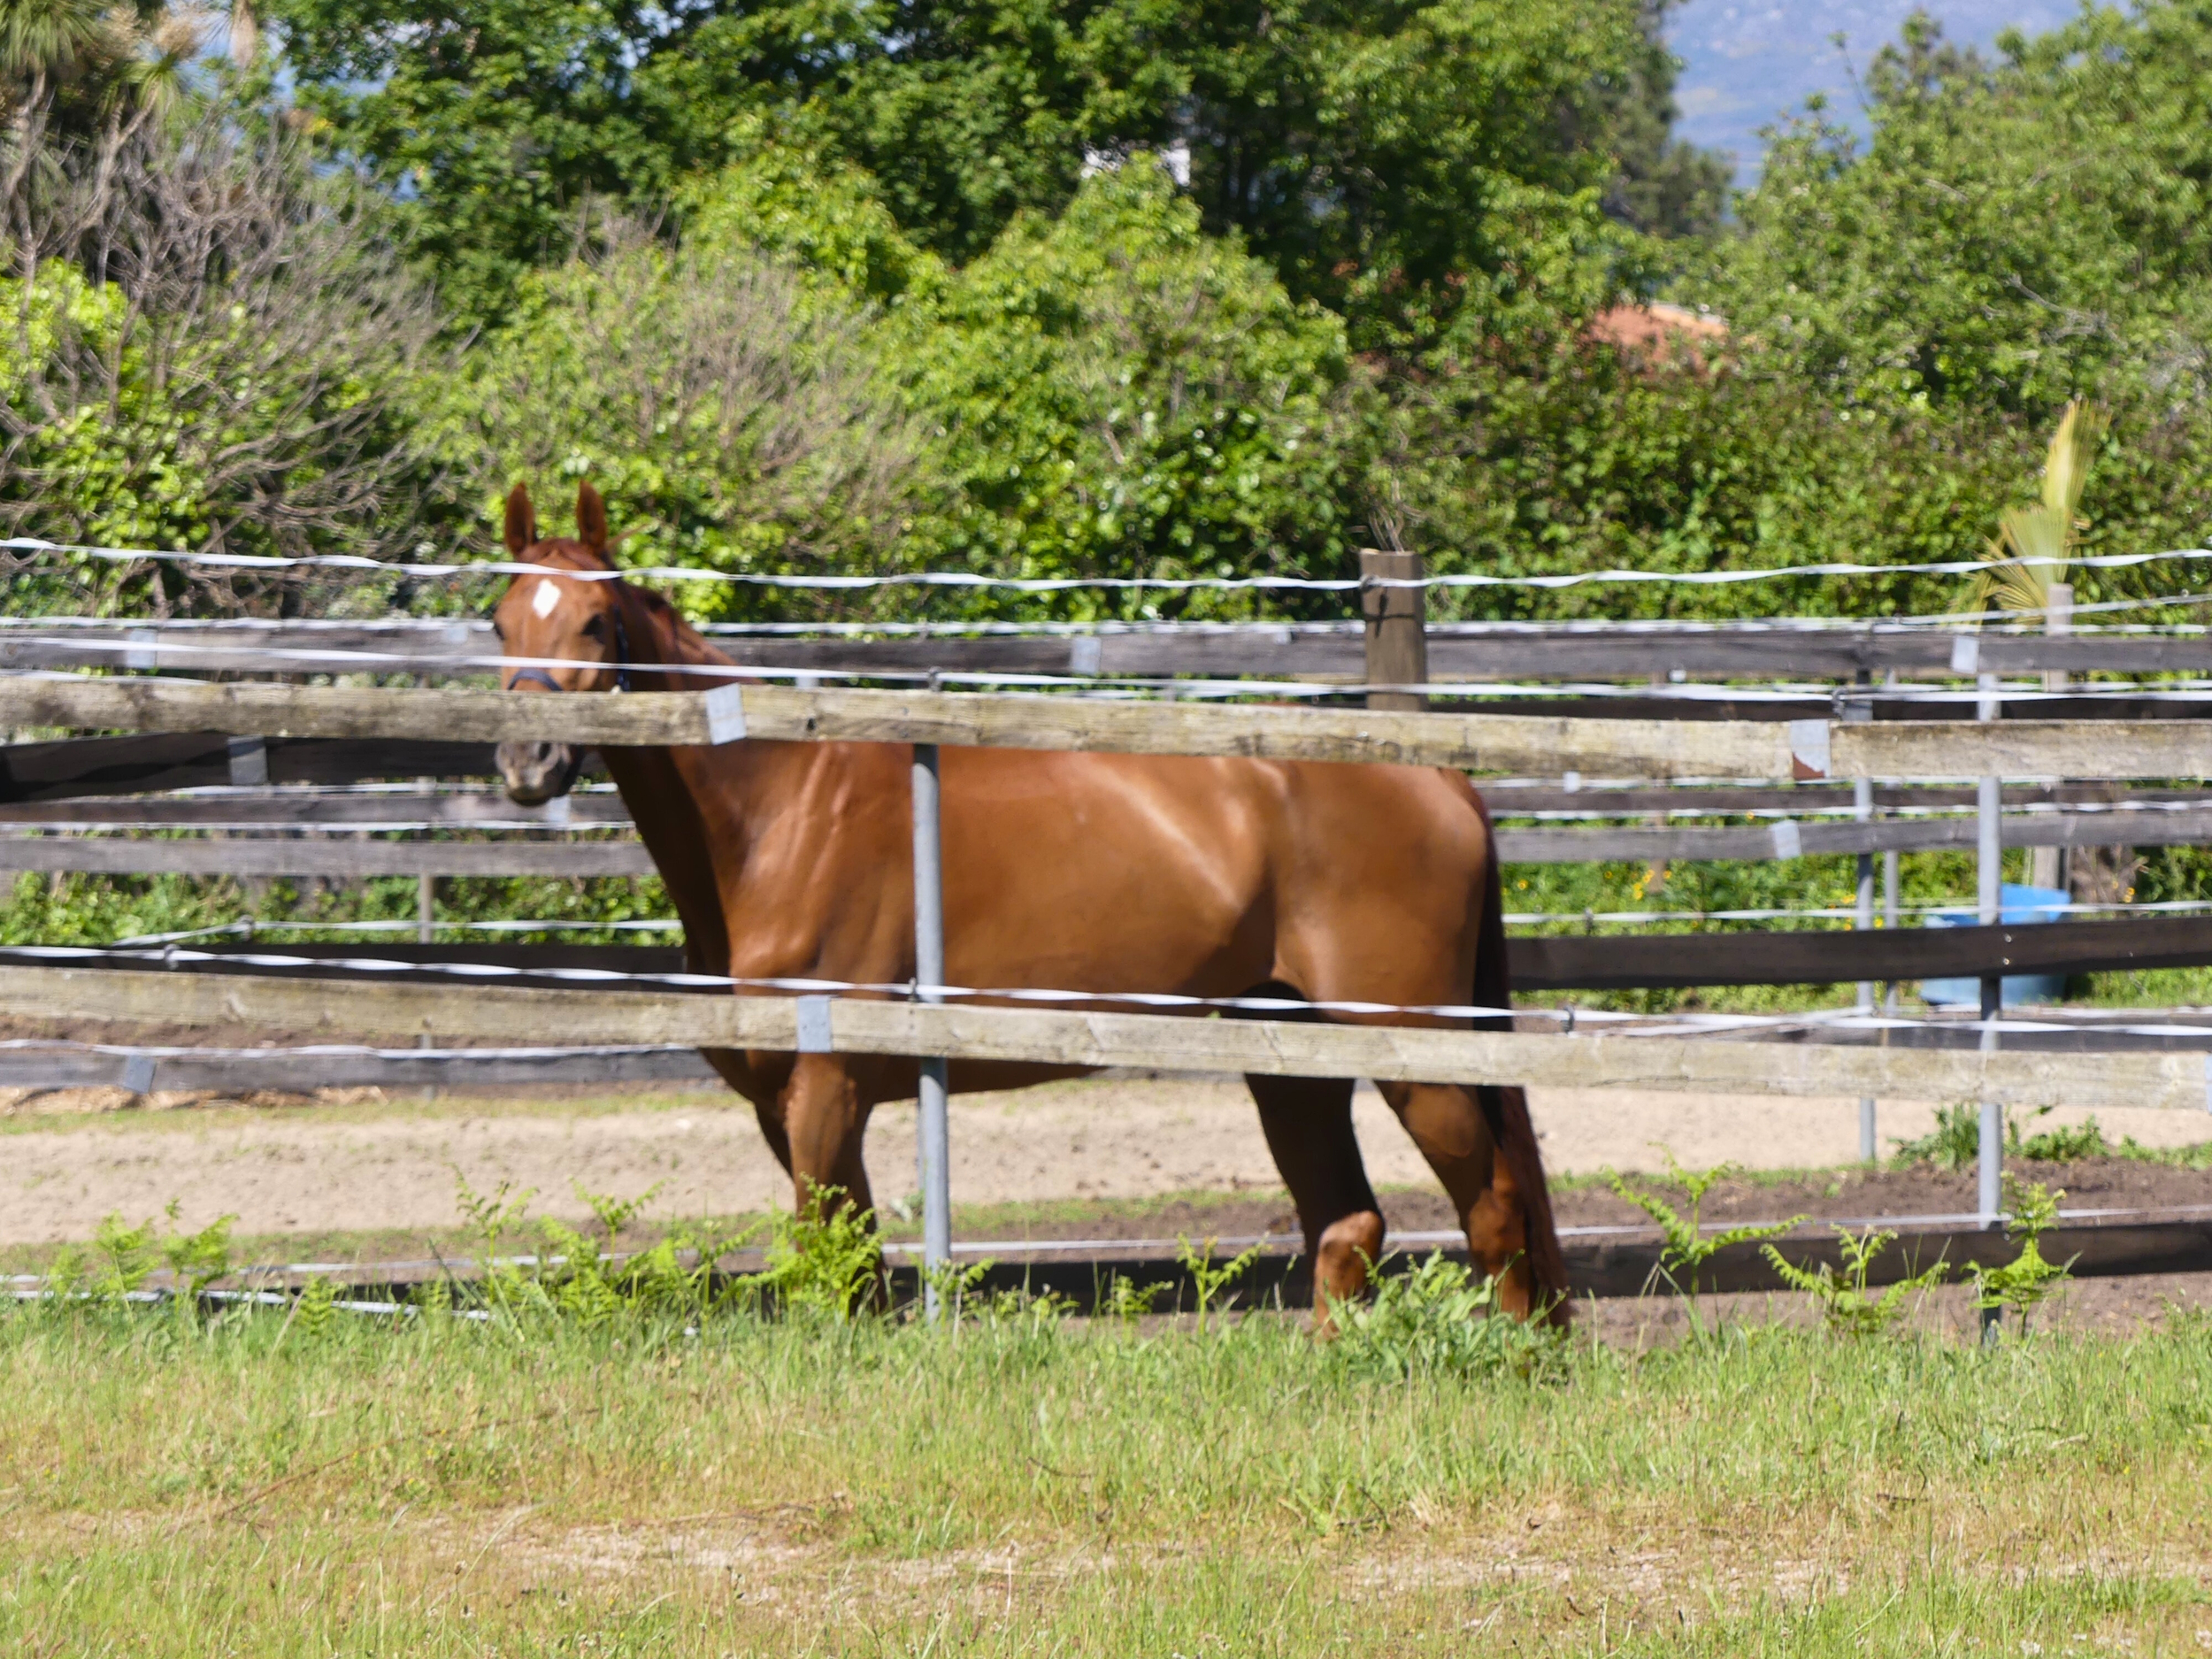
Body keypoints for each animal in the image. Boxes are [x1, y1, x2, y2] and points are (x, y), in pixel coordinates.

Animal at [488, 481, 1568, 1322]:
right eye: (501, 622)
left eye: (595, 621)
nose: (526, 760)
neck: (780, 814)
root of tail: (1442, 780)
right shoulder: (783, 1104)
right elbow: (852, 1262)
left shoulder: (826, 1089)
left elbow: (834, 1266)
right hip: (1290, 1054)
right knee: (1347, 1222)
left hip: (1417, 1050)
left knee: (1492, 1207)